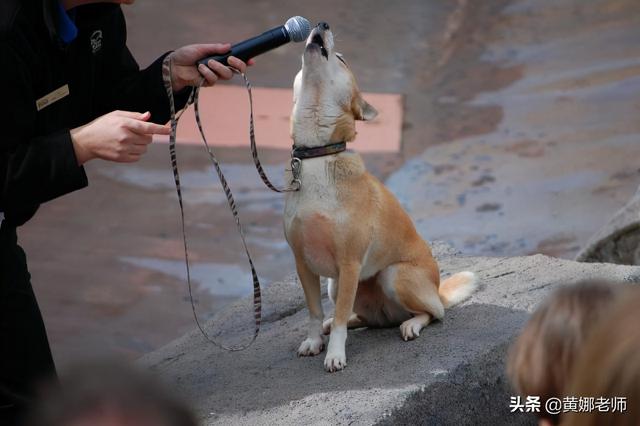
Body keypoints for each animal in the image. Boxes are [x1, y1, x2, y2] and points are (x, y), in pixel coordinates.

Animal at [284, 21, 476, 372]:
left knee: (432, 314)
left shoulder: (349, 263)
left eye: (342, 59)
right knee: (362, 319)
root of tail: (436, 291)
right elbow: (314, 311)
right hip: (336, 285)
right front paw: (314, 340)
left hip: (392, 275)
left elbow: (341, 319)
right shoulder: (303, 263)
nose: (323, 24)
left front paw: (335, 354)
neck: (318, 154)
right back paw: (338, 325)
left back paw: (411, 324)